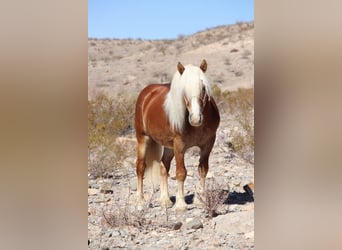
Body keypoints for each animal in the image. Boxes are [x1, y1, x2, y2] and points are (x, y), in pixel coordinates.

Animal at [134, 59, 219, 210]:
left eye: (203, 88)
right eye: (184, 90)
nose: (195, 118)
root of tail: (147, 93)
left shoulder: (208, 144)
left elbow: (203, 170)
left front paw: (200, 200)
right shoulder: (180, 146)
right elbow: (181, 173)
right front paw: (181, 205)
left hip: (168, 146)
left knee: (163, 167)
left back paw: (165, 200)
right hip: (143, 139)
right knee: (140, 167)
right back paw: (140, 199)